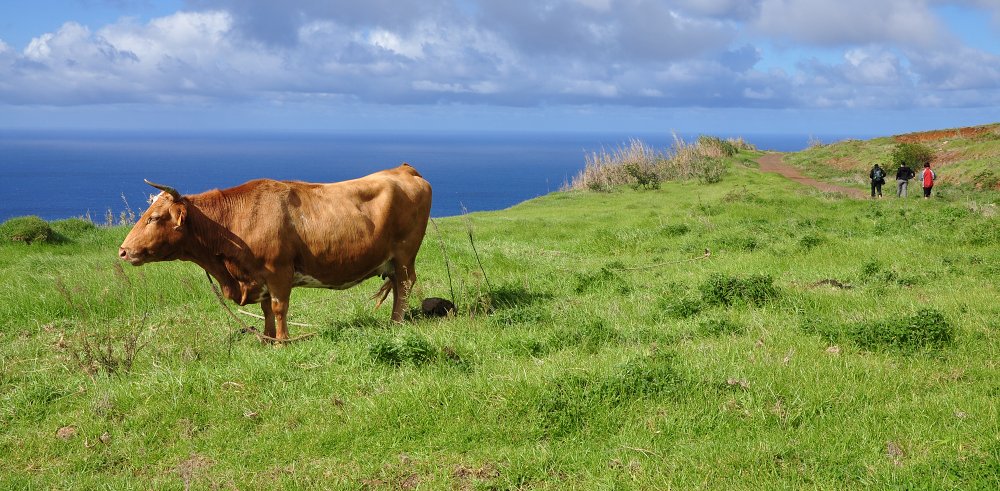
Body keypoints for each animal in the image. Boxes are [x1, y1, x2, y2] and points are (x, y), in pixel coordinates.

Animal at [117, 163, 430, 340]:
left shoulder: (278, 271)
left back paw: (395, 323)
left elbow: (280, 308)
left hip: (405, 255)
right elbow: (266, 309)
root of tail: (405, 169)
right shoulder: (258, 277)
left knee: (404, 286)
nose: (123, 251)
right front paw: (267, 339)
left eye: (154, 218)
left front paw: (282, 341)